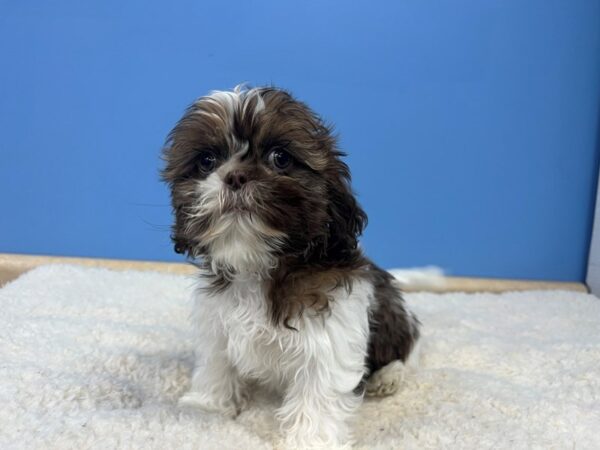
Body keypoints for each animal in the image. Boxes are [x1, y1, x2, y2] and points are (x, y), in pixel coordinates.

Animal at [162, 86, 420, 448]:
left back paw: (389, 376)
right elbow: (216, 362)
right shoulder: (216, 321)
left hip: (393, 319)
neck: (258, 264)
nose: (235, 175)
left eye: (280, 158)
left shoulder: (330, 335)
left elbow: (319, 391)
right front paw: (208, 407)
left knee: (406, 348)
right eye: (207, 161)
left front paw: (311, 440)